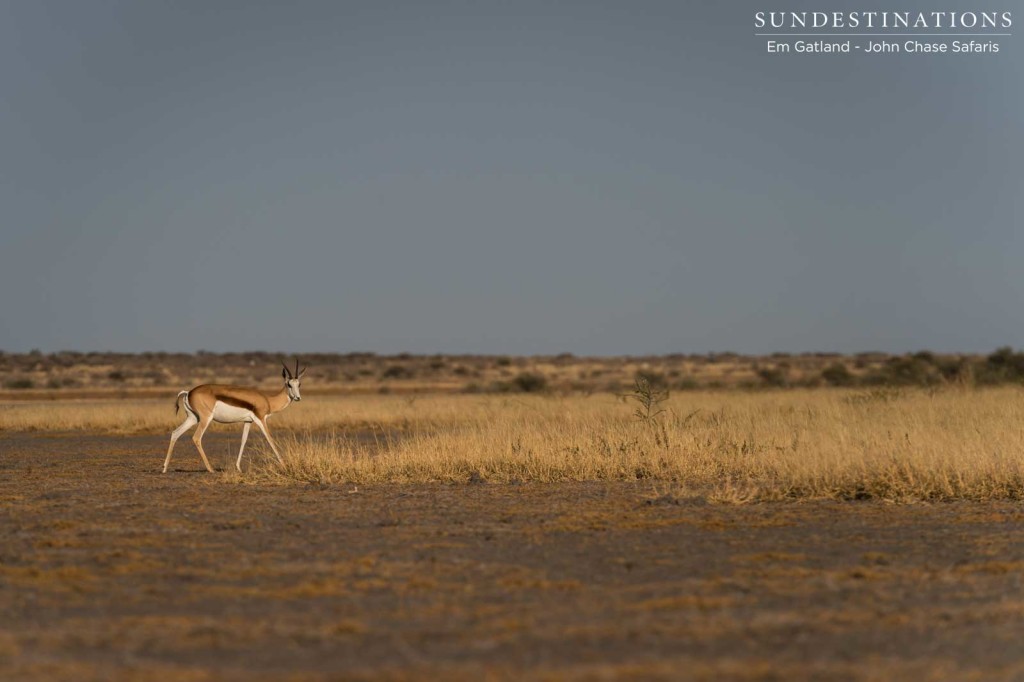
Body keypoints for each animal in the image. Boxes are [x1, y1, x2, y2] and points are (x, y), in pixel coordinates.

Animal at [161, 356, 305, 473]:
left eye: (299, 384)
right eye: (289, 384)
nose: (298, 398)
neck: (268, 400)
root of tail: (188, 392)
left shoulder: (248, 421)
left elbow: (243, 440)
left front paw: (238, 468)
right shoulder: (261, 420)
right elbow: (270, 439)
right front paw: (284, 466)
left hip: (193, 418)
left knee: (175, 433)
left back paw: (164, 468)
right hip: (205, 419)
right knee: (196, 438)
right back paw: (210, 469)